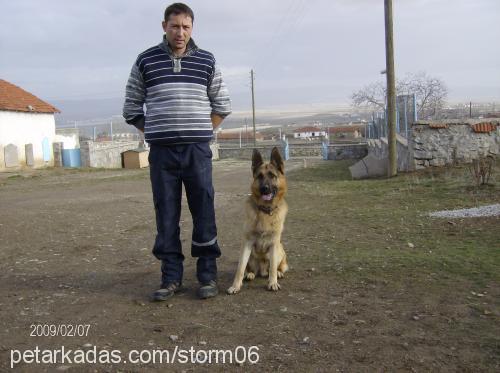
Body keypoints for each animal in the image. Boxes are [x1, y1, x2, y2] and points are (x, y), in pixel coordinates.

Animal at [227, 147, 290, 292]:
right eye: (259, 176)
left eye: (272, 175)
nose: (264, 189)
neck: (265, 212)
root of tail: (262, 270)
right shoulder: (247, 243)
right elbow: (240, 268)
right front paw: (235, 286)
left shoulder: (274, 243)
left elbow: (272, 268)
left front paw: (273, 283)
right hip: (250, 255)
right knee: (249, 269)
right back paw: (250, 274)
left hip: (280, 249)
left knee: (277, 267)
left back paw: (279, 273)